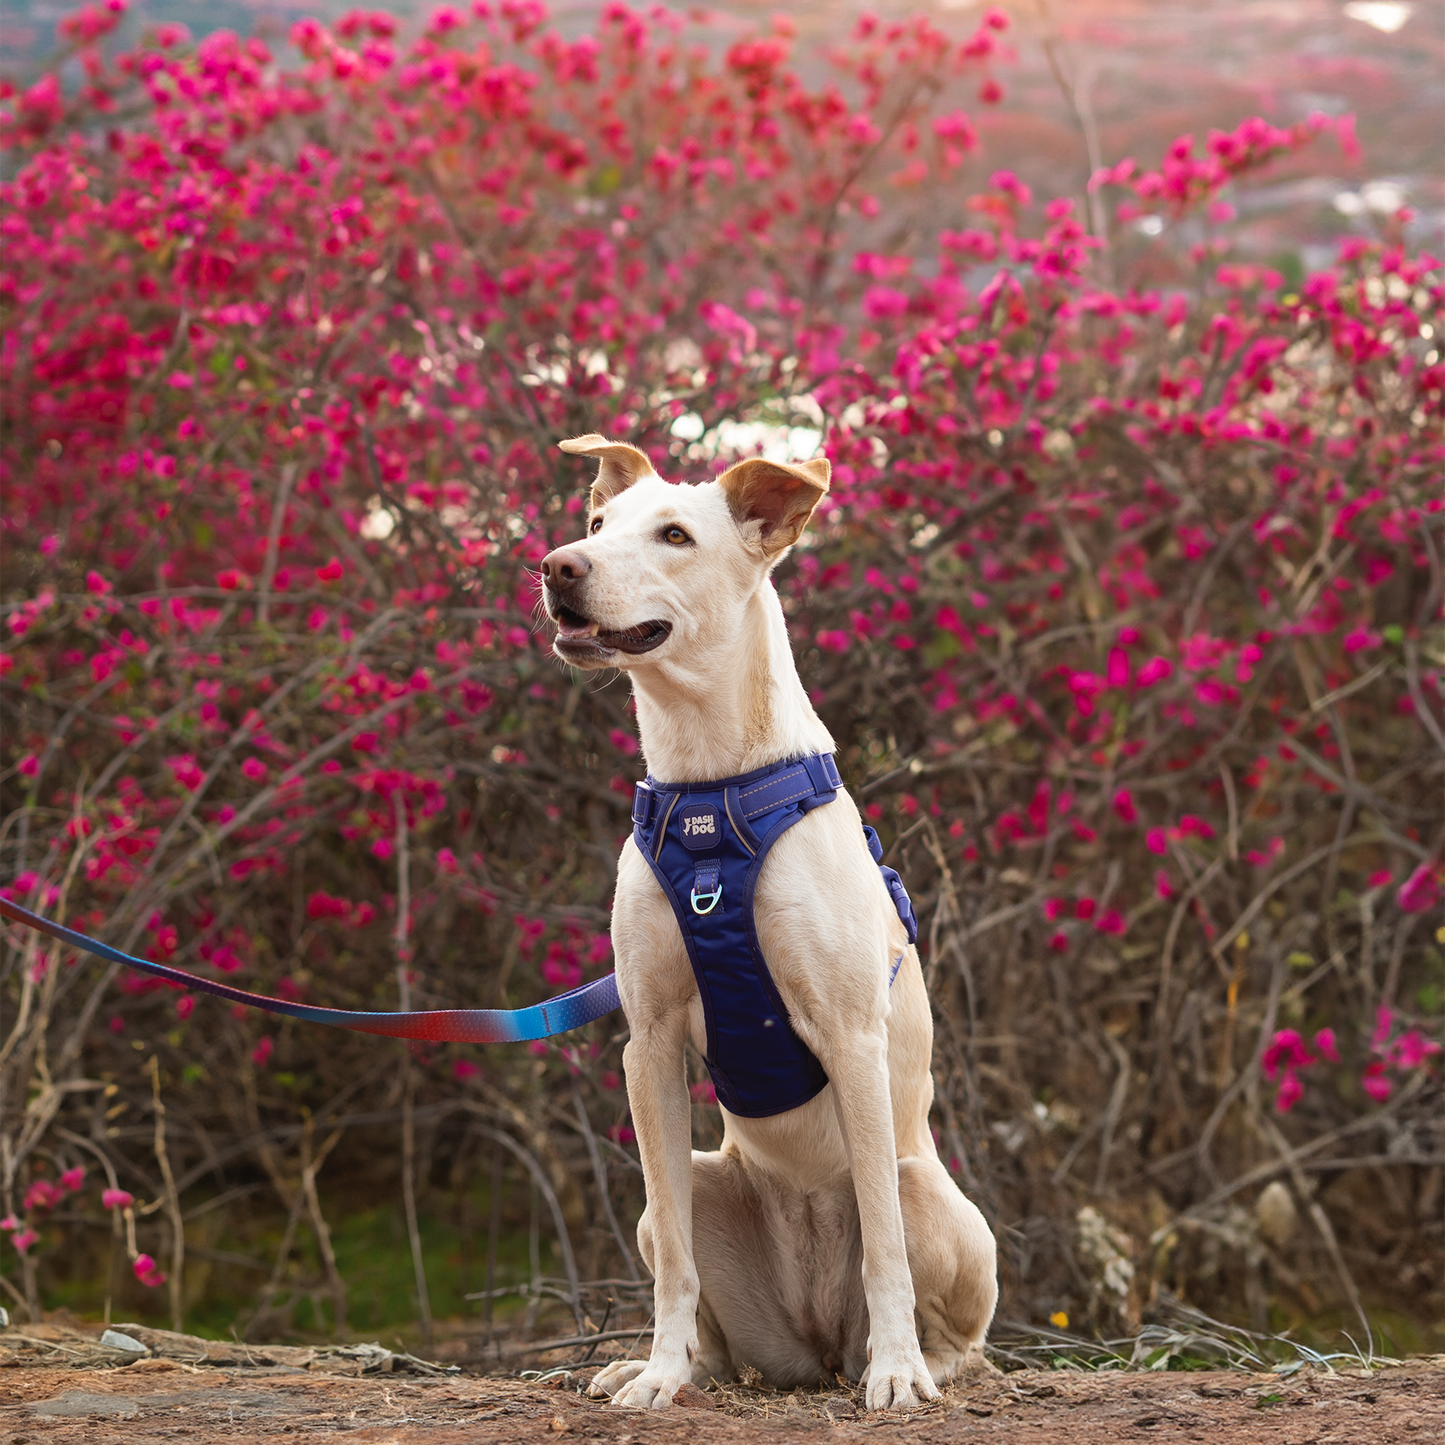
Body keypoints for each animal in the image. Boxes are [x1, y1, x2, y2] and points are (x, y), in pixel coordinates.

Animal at [537, 436, 999, 1410]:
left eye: (674, 535)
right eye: (595, 523)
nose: (560, 565)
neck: (708, 791)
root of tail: (815, 1343)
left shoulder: (851, 1034)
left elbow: (886, 1252)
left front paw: (896, 1374)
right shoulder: (649, 1042)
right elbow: (675, 1262)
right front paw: (660, 1371)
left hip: (929, 1193)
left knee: (936, 1301)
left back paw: (917, 1361)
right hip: (691, 1194)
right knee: (689, 1268)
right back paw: (676, 1365)